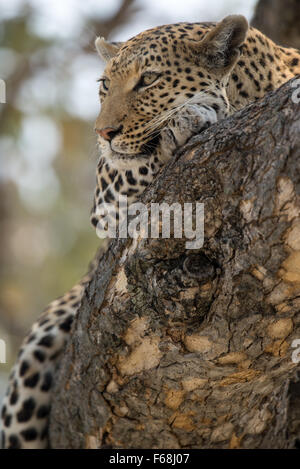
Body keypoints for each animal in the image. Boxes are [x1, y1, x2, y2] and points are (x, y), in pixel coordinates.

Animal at [1, 13, 300, 446]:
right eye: (104, 86)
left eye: (149, 80)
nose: (103, 133)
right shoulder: (107, 196)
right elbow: (136, 161)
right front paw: (196, 114)